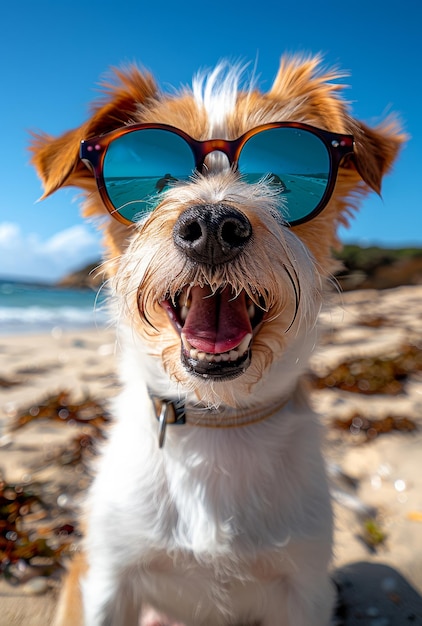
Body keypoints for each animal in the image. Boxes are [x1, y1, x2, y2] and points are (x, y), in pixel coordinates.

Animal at [30, 54, 402, 624]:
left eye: (281, 174)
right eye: (155, 178)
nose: (211, 224)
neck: (217, 421)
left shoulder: (304, 590)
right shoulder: (108, 578)